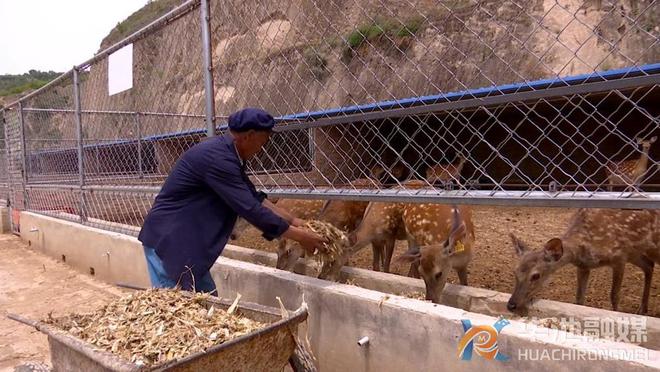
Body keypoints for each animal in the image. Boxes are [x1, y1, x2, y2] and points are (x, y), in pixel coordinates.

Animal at [508, 208, 656, 316]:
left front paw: (616, 313)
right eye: (515, 272)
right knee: (648, 265)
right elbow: (579, 297)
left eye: (536, 275)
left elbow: (614, 295)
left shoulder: (619, 256)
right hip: (635, 253)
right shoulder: (583, 266)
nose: (511, 305)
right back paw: (642, 309)